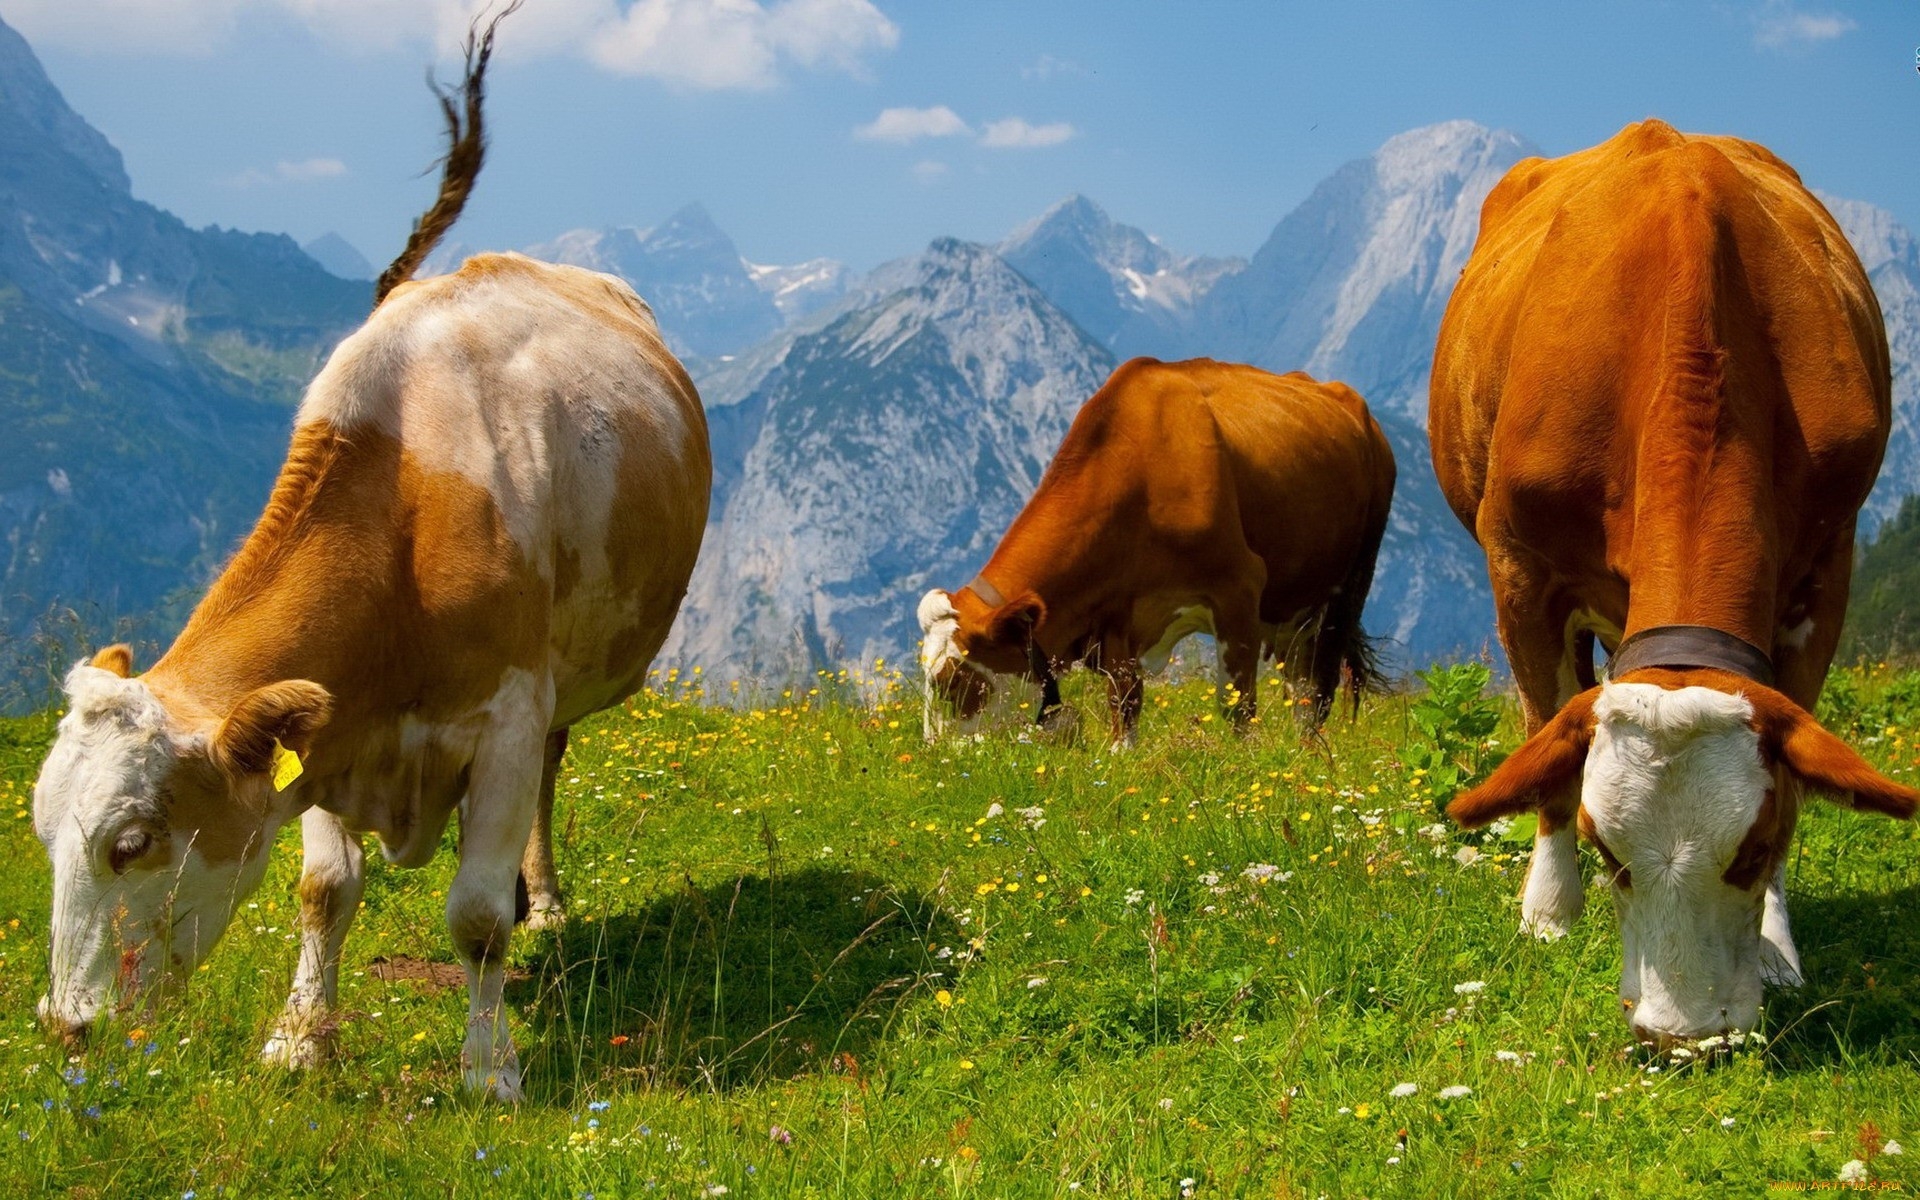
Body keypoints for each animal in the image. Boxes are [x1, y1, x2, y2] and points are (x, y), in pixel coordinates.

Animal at [30, 12, 712, 1101]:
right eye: (44, 829)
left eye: (131, 841)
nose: (68, 1027)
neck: (406, 524)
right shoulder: (325, 729)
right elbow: (322, 888)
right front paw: (300, 1039)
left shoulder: (507, 715)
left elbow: (476, 917)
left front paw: (488, 1068)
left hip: (560, 684)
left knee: (549, 781)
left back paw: (548, 900)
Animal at [919, 358, 1394, 747]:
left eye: (951, 681)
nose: (936, 754)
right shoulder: (1114, 616)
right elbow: (1124, 704)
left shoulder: (1238, 589)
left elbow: (1237, 706)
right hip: (1290, 609)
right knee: (1300, 687)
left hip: (1348, 589)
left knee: (1318, 691)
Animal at [1430, 119, 1917, 1047]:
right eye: (1608, 851)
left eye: (1755, 849)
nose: (1684, 1035)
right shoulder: (1518, 568)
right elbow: (1549, 741)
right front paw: (1550, 911)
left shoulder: (1827, 569)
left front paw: (1777, 948)